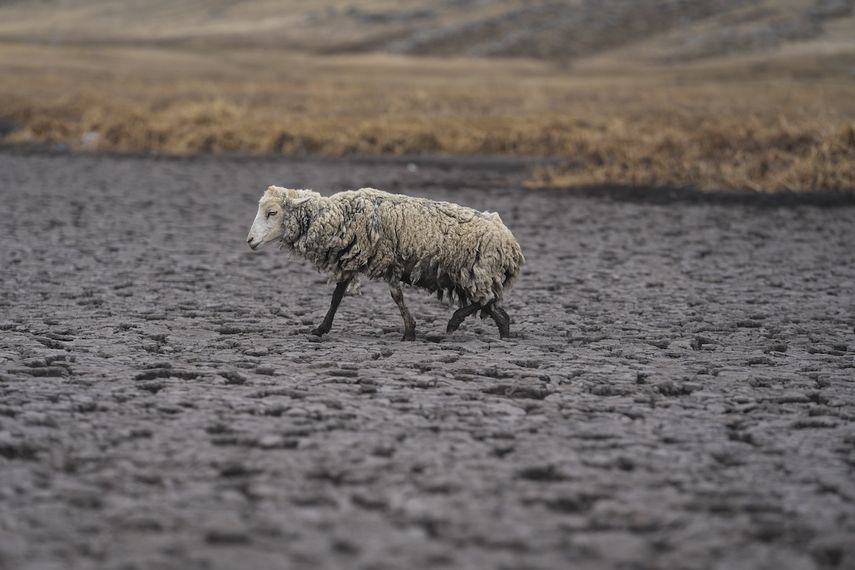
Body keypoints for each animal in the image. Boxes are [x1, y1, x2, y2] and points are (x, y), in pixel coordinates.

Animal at [246, 185, 524, 340]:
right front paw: (321, 329)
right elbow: (337, 296)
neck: (340, 216)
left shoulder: (387, 259)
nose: (249, 241)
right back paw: (503, 333)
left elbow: (396, 297)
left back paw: (454, 322)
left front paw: (409, 332)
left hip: (478, 272)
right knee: (494, 307)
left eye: (272, 212)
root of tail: (511, 242)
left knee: (485, 300)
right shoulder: (352, 259)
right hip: (475, 276)